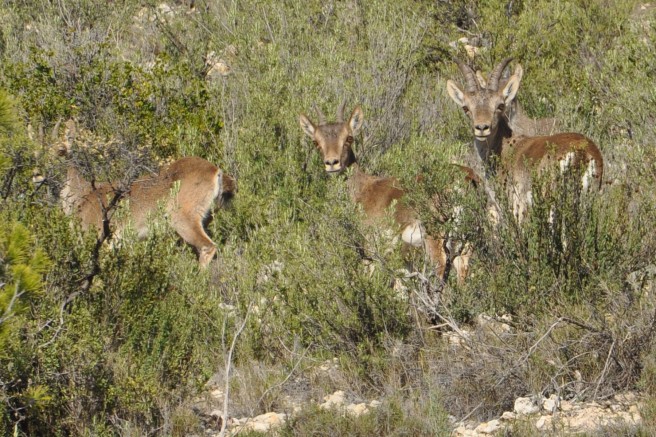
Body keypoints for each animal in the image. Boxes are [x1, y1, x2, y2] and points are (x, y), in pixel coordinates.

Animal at [51, 119, 236, 266]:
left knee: (207, 247)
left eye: (60, 150)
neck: (81, 196)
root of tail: (216, 172)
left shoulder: (100, 237)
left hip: (184, 217)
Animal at [446, 58, 604, 220]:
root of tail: (580, 153)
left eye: (500, 105)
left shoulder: (515, 204)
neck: (505, 146)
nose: (482, 128)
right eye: (466, 107)